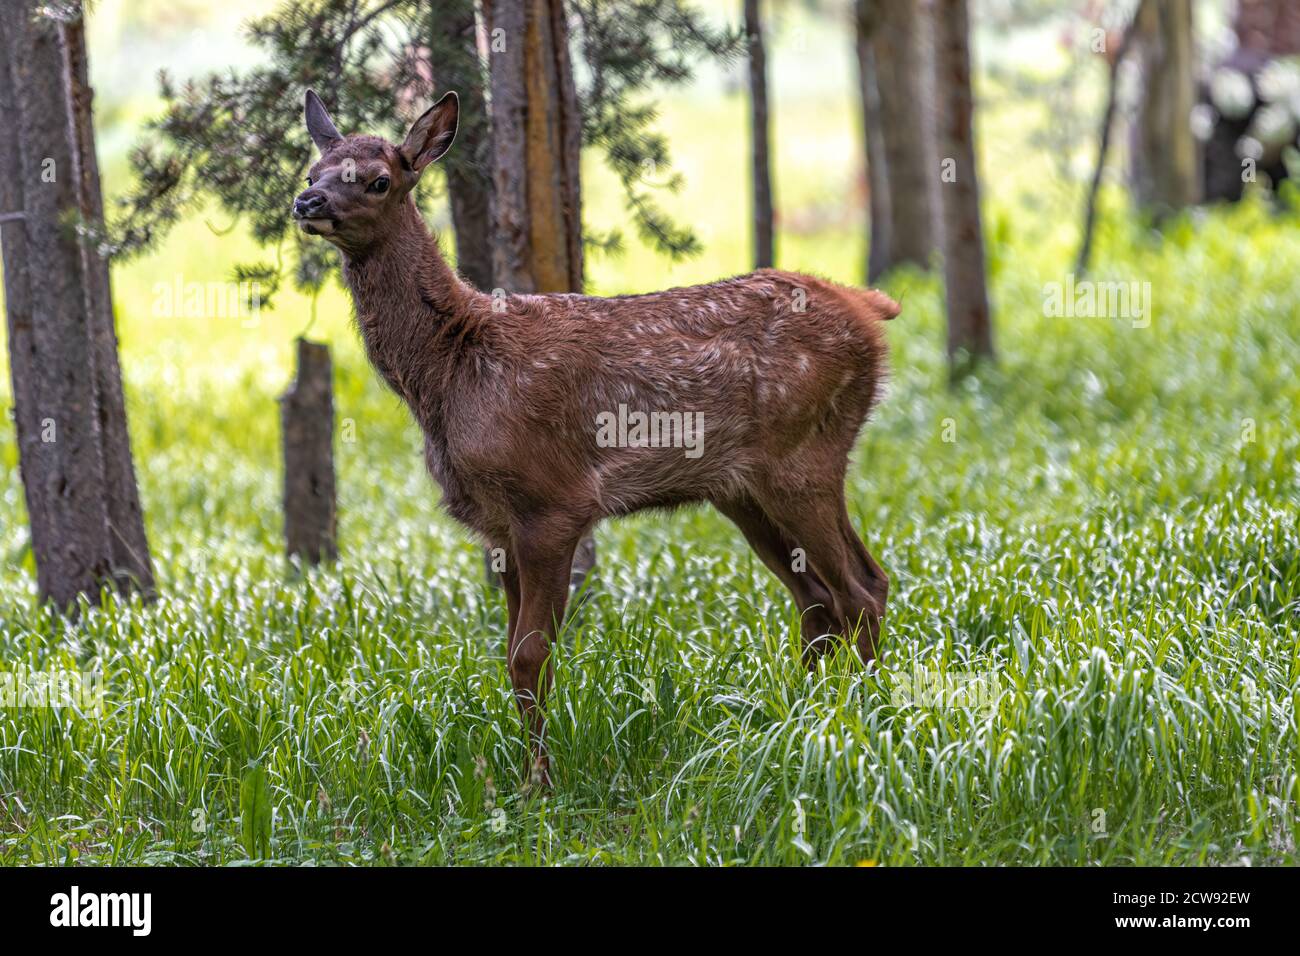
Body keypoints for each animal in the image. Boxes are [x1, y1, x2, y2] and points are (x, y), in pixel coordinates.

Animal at [291, 87, 899, 785]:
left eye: (378, 180)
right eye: (312, 171)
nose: (306, 204)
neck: (452, 371)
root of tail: (869, 308)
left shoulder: (552, 503)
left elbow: (528, 657)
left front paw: (541, 783)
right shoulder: (499, 528)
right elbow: (509, 654)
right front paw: (522, 774)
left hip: (804, 456)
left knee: (862, 589)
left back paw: (862, 718)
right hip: (741, 490)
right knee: (818, 599)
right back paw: (802, 717)